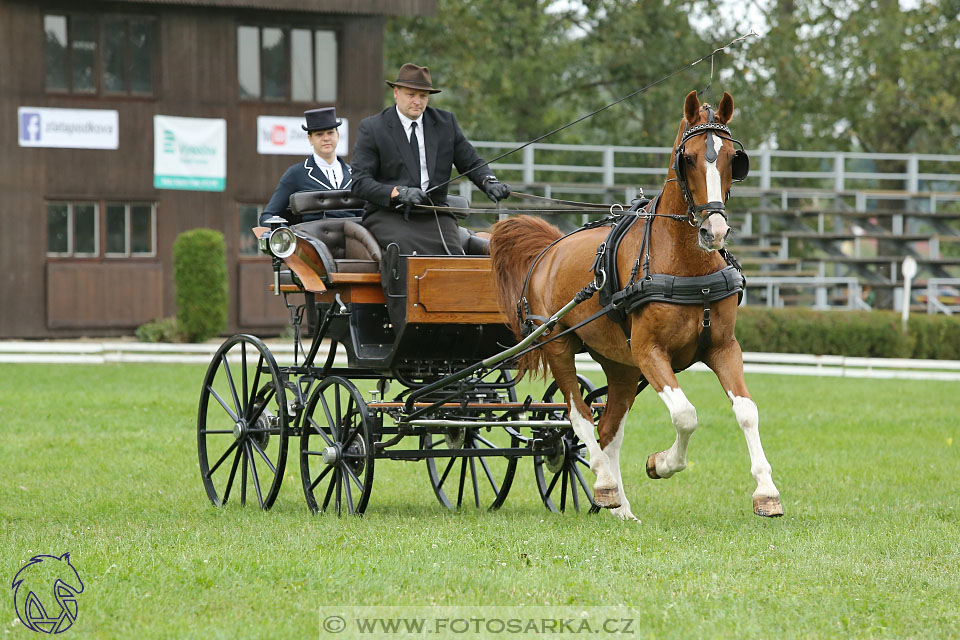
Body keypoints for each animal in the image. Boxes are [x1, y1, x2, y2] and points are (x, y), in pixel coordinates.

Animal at [492, 90, 784, 520]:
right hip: (560, 346)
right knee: (578, 415)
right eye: (689, 158)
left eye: (734, 158)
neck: (685, 264)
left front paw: (766, 492)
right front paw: (661, 463)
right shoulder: (650, 352)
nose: (713, 231)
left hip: (622, 366)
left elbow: (747, 410)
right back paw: (605, 484)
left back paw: (620, 507)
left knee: (608, 427)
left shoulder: (723, 348)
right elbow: (685, 415)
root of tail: (550, 248)